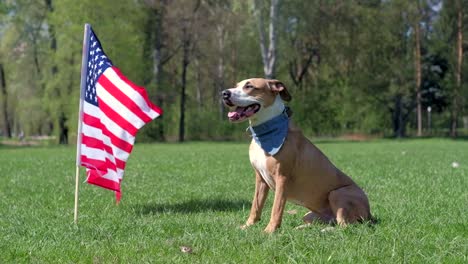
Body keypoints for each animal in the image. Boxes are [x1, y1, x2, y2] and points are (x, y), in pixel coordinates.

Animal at [221, 78, 372, 233]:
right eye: (237, 85)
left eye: (249, 86)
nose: (224, 93)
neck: (265, 133)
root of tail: (369, 213)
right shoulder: (260, 178)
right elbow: (255, 206)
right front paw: (247, 226)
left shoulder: (282, 178)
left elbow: (276, 208)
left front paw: (269, 231)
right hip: (310, 215)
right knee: (328, 221)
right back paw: (302, 228)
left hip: (337, 194)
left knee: (346, 226)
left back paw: (324, 231)